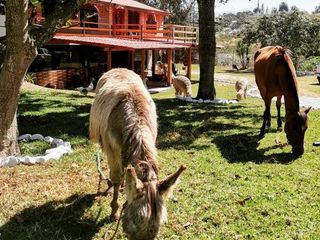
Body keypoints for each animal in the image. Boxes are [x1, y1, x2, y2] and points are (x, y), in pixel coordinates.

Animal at [89, 68, 185, 239]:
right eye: (134, 223)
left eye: (158, 226)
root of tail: (119, 68)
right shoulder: (112, 150)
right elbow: (115, 178)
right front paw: (114, 210)